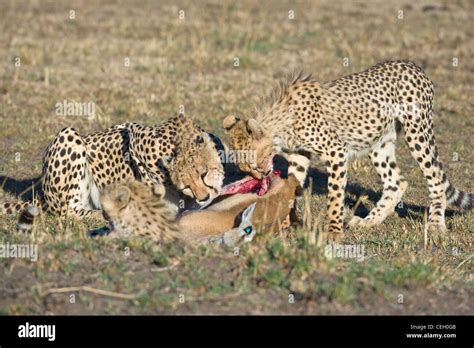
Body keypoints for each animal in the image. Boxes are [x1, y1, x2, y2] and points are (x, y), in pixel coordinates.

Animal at [1, 115, 224, 222]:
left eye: (203, 174)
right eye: (187, 185)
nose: (203, 197)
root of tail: (43, 195)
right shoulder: (136, 137)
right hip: (69, 135)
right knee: (68, 211)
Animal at [223, 60, 474, 239]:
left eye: (254, 164)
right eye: (245, 168)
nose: (259, 177)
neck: (282, 122)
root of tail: (412, 65)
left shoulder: (335, 151)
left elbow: (334, 195)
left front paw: (334, 230)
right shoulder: (300, 155)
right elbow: (292, 186)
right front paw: (285, 223)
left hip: (417, 133)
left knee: (435, 177)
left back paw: (436, 225)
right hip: (379, 142)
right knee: (396, 182)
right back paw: (368, 222)